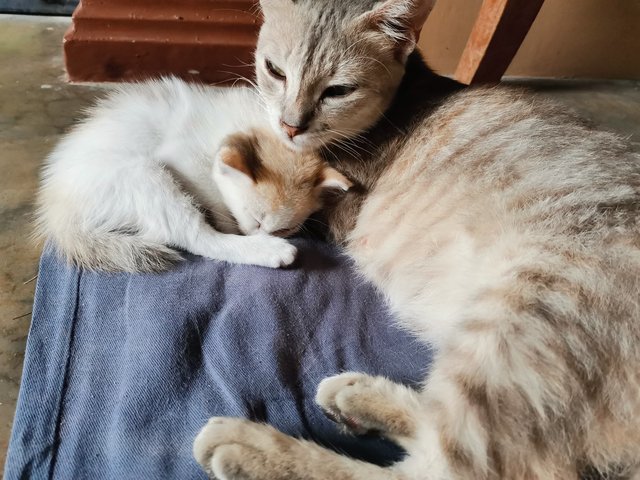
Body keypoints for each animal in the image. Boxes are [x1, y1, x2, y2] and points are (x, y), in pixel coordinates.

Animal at [194, 0, 640, 480]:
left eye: (338, 90)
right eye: (274, 70)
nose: (290, 125)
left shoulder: (335, 206)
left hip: (521, 327)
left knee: (438, 466)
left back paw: (250, 447)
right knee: (432, 424)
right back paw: (358, 396)